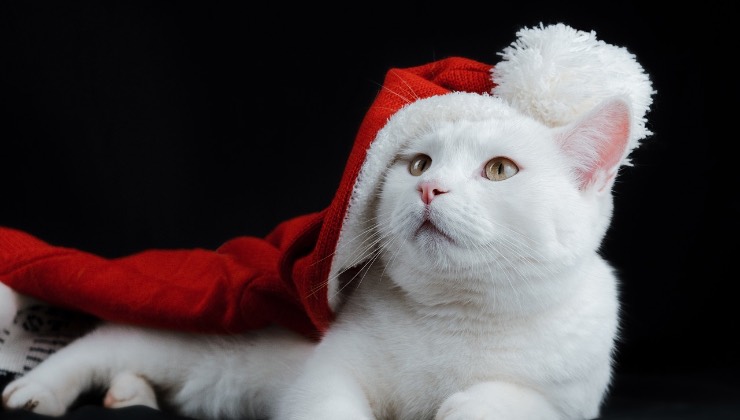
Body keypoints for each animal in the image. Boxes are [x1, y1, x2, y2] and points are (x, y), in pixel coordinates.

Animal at [4, 92, 632, 420]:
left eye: (500, 169)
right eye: (419, 164)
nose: (429, 190)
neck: (459, 317)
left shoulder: (573, 400)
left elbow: (506, 401)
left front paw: (462, 404)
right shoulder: (328, 373)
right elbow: (331, 407)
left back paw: (131, 393)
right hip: (169, 328)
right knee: (97, 345)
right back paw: (39, 391)